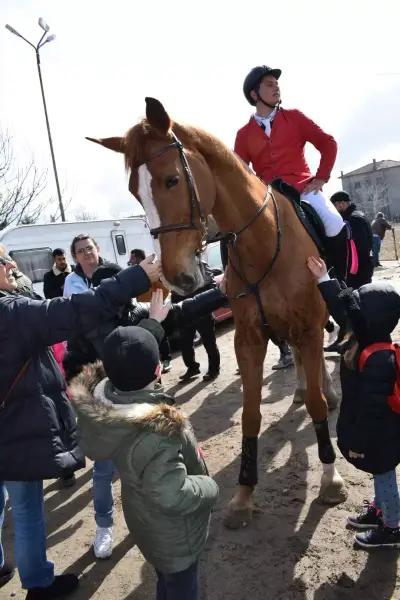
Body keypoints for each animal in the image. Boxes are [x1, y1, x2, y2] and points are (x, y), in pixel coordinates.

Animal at [86, 96, 346, 528]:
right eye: (135, 192)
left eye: (172, 180)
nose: (176, 276)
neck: (265, 241)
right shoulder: (249, 337)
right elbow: (251, 414)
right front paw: (243, 495)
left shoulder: (308, 326)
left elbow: (317, 405)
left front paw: (330, 478)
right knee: (298, 366)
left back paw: (327, 389)